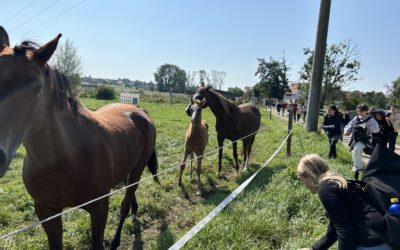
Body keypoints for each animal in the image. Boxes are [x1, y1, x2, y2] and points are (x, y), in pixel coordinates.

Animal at [0, 26, 159, 249]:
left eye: (36, 87)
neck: (63, 158)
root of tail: (139, 111)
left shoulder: (99, 209)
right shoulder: (46, 212)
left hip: (137, 170)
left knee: (125, 203)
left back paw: (116, 240)